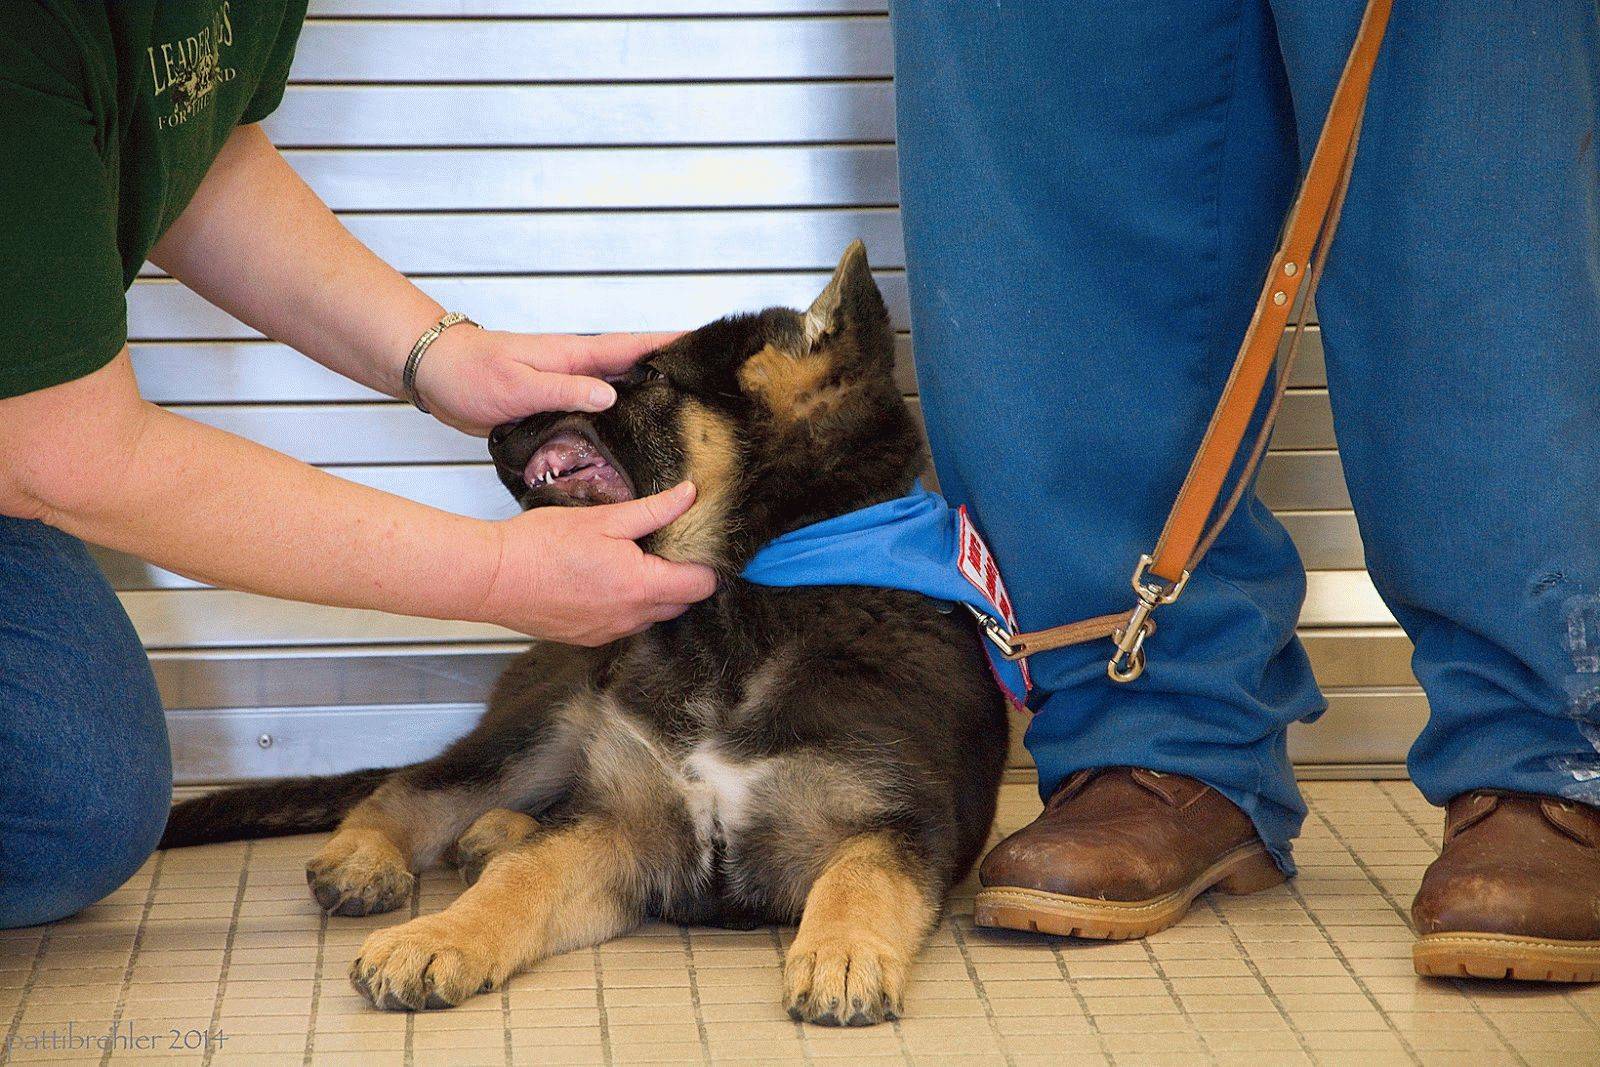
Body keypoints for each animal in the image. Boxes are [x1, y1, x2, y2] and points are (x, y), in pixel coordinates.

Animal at [165, 241, 1011, 1023]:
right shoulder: (625, 827)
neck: (745, 602)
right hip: (545, 723)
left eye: (653, 380)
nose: (499, 418)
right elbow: (526, 875)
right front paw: (437, 936)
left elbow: (861, 876)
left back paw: (493, 833)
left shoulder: (898, 822)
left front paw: (842, 951)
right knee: (419, 785)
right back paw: (370, 853)